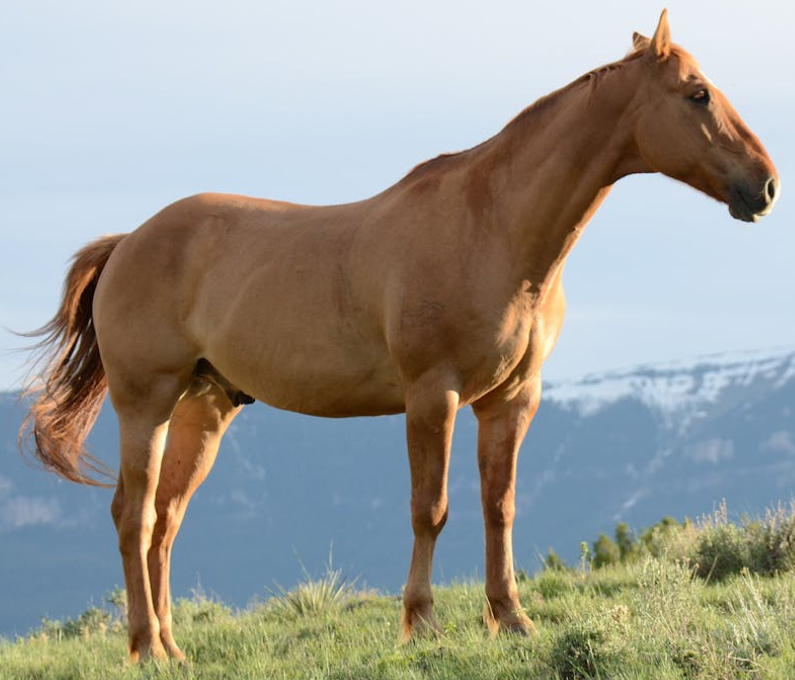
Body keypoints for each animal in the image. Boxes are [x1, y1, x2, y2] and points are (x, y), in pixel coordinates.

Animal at [21, 10, 778, 662]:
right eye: (697, 94)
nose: (765, 186)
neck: (493, 228)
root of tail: (128, 242)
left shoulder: (512, 400)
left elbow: (498, 506)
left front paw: (511, 619)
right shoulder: (431, 395)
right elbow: (430, 509)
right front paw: (422, 623)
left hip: (203, 409)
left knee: (166, 521)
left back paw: (173, 648)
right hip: (145, 402)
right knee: (134, 516)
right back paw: (145, 647)